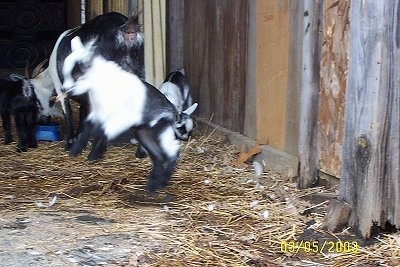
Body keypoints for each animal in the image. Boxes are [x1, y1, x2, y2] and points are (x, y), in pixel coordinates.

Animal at [60, 36, 191, 194]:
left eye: (77, 74)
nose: (64, 90)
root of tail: (173, 111)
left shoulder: (121, 117)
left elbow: (103, 130)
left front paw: (93, 151)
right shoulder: (98, 112)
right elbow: (89, 126)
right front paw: (77, 148)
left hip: (160, 129)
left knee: (171, 152)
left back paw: (163, 180)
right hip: (143, 133)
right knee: (158, 156)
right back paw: (154, 183)